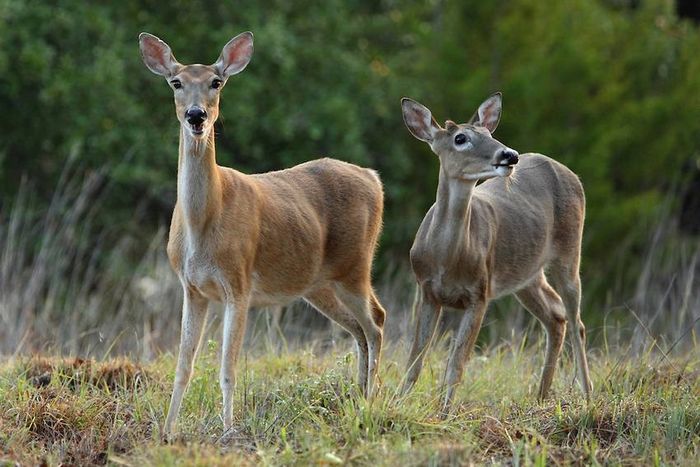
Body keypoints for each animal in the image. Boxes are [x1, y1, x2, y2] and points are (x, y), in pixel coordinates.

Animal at [139, 31, 386, 436]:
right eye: (175, 82)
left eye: (216, 82)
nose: (196, 115)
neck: (202, 225)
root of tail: (373, 177)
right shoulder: (192, 288)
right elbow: (183, 366)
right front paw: (167, 431)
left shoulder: (238, 284)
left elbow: (227, 368)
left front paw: (228, 430)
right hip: (317, 285)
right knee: (359, 331)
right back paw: (358, 397)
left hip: (356, 264)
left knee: (376, 322)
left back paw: (369, 403)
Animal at [400, 93, 592, 412]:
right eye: (461, 138)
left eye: (490, 134)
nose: (509, 155)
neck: (446, 259)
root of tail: (570, 173)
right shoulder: (426, 291)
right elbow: (414, 360)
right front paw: (394, 402)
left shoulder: (480, 292)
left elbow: (456, 364)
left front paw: (445, 413)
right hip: (526, 274)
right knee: (555, 315)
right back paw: (541, 396)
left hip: (569, 251)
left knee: (576, 321)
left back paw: (588, 394)